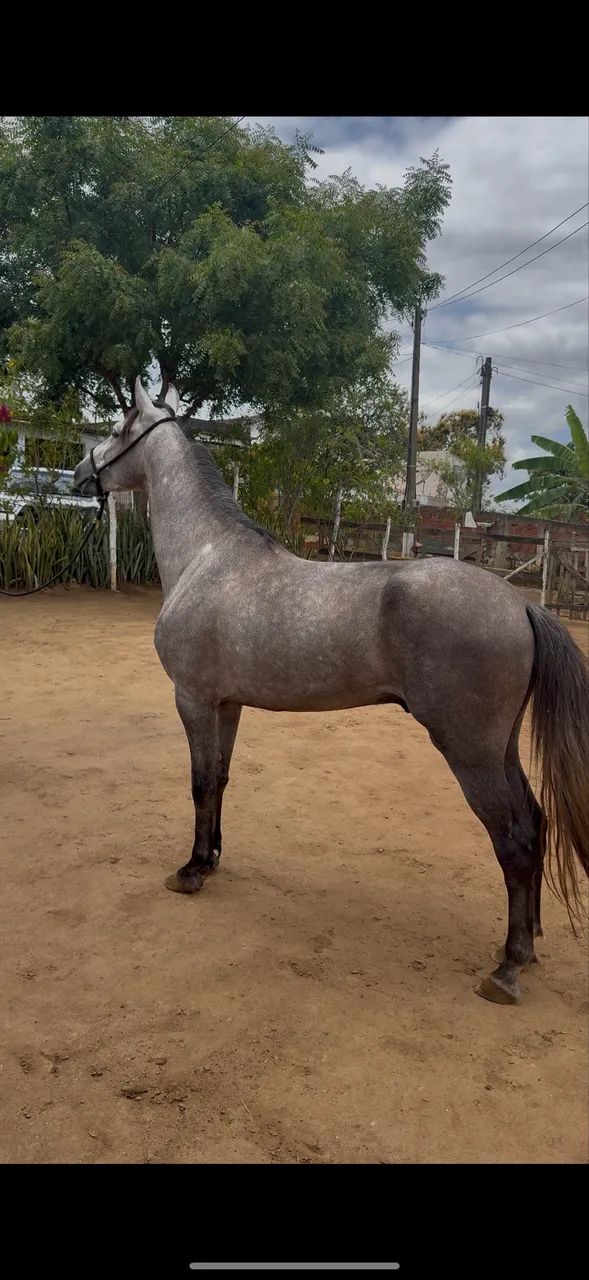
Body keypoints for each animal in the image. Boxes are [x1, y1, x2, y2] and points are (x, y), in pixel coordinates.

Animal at [74, 379, 589, 1006]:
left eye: (117, 427)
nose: (79, 474)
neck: (207, 556)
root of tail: (519, 603)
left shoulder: (192, 699)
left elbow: (197, 783)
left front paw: (190, 871)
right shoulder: (227, 704)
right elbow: (219, 779)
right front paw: (213, 857)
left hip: (470, 752)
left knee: (513, 838)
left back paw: (509, 967)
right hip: (501, 746)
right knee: (536, 823)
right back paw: (528, 940)